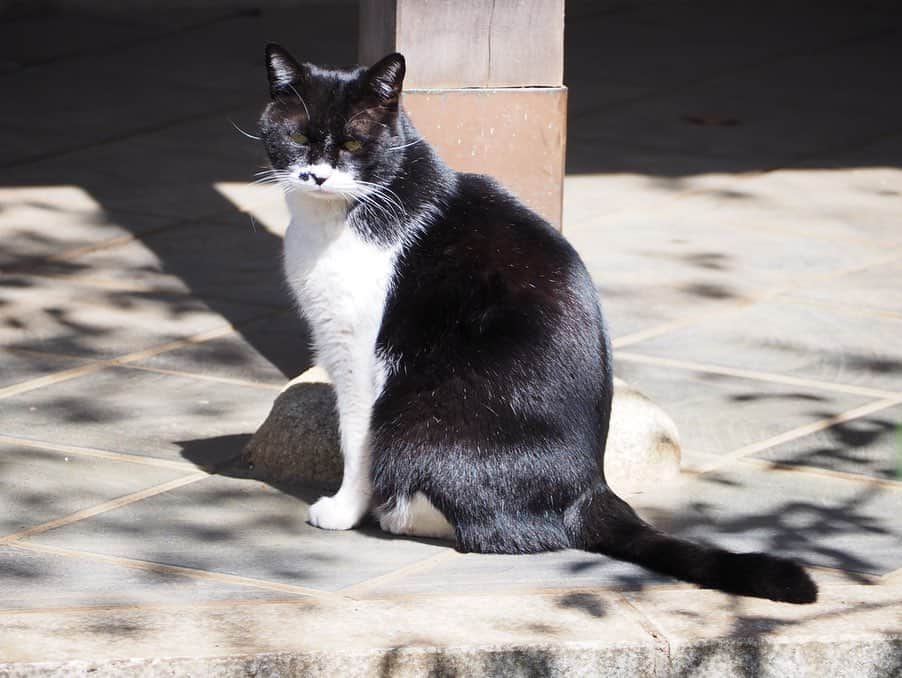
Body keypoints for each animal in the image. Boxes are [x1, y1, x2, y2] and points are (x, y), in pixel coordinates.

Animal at [256, 42, 820, 604]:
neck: (336, 217)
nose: (317, 175)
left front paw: (343, 509)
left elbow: (356, 439)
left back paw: (398, 513)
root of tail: (592, 489)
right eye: (299, 138)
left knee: (511, 532)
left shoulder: (357, 353)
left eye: (353, 141)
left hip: (418, 422)